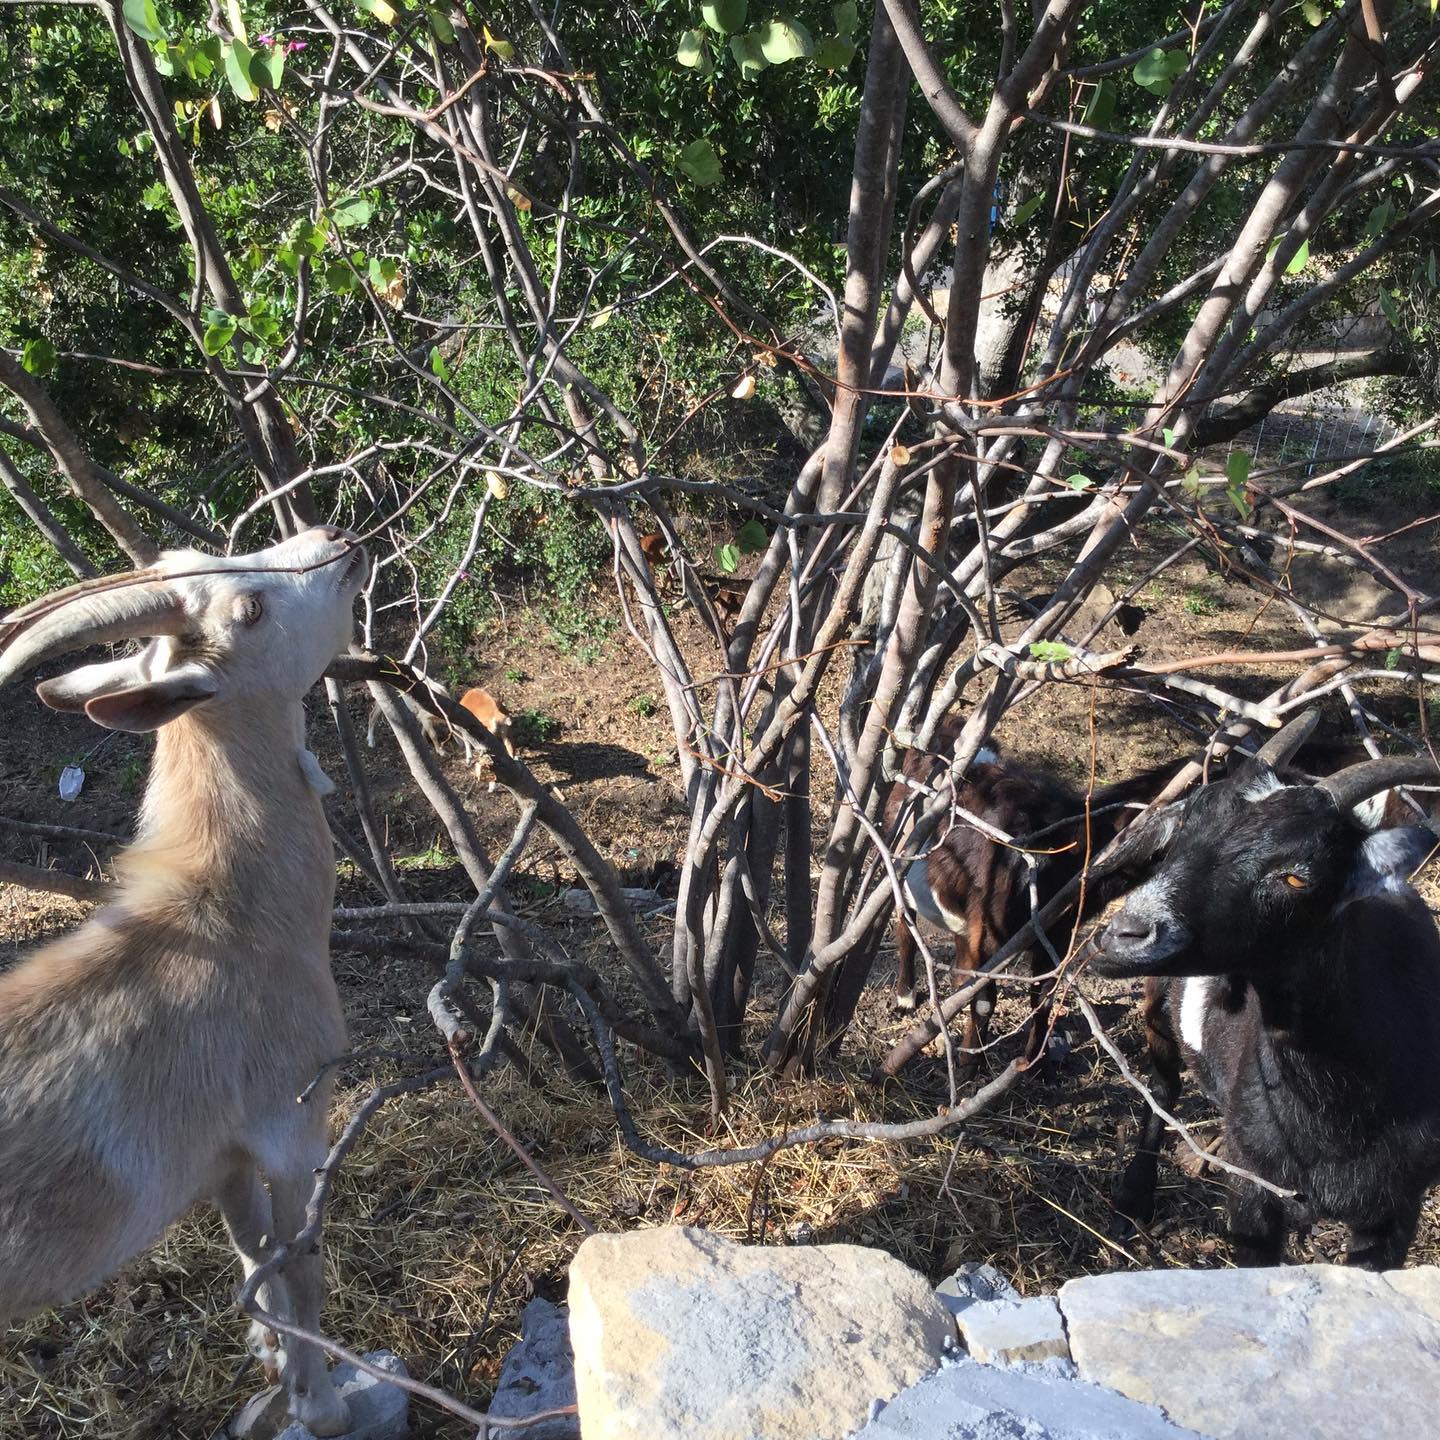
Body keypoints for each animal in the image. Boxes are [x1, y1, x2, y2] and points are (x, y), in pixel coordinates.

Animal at [0, 527, 369, 1433]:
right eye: (251, 608)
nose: (337, 541)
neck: (226, 917)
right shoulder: (292, 1122)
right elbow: (301, 1261)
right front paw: (321, 1404)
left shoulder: (223, 1155)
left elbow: (252, 1248)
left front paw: (273, 1358)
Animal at [886, 718, 1180, 1076]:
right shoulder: (990, 929)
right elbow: (983, 999)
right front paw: (970, 1067)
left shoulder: (1057, 933)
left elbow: (1043, 998)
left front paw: (1035, 1065)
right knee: (905, 927)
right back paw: (905, 996)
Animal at [1089, 744, 1440, 1269]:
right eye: (1186, 830)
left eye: (1296, 876)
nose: (1123, 935)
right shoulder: (1253, 1184)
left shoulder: (1396, 1209)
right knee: (1164, 1085)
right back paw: (1134, 1197)